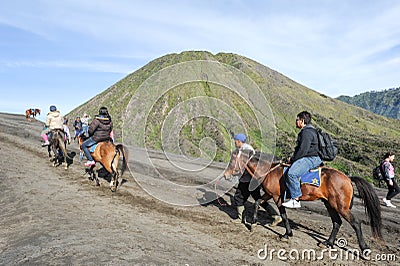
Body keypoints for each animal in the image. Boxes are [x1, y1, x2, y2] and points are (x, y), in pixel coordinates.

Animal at [223, 151, 382, 252]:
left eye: (232, 161)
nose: (225, 175)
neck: (269, 171)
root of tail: (348, 178)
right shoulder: (269, 194)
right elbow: (258, 203)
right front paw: (253, 223)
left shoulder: (277, 197)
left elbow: (284, 214)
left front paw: (287, 234)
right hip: (329, 204)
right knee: (337, 222)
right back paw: (328, 243)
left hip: (341, 206)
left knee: (355, 223)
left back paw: (364, 249)